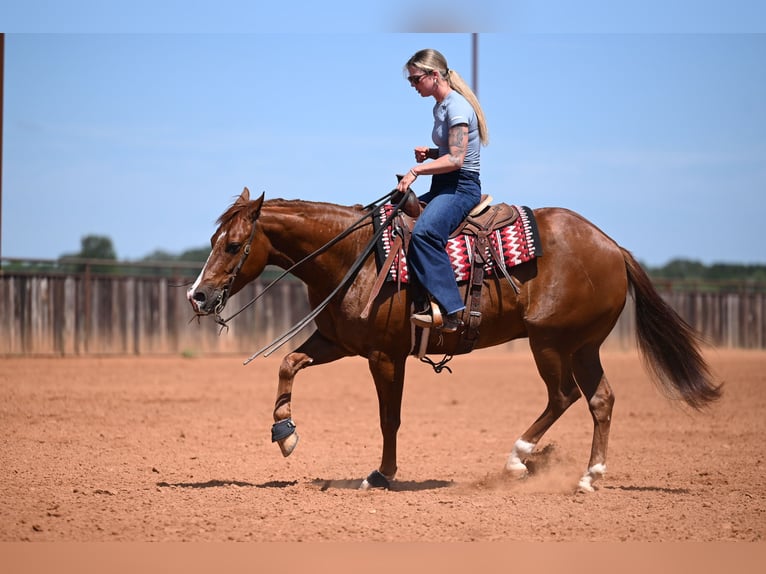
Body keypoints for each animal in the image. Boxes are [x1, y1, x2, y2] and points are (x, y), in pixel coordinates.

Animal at [187, 187, 721, 492]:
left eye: (233, 245)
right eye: (213, 242)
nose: (198, 295)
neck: (356, 255)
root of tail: (612, 246)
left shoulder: (385, 355)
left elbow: (389, 418)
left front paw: (382, 474)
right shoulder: (337, 342)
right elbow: (288, 364)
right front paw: (285, 433)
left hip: (550, 341)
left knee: (563, 395)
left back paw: (518, 460)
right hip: (583, 346)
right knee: (600, 400)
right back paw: (589, 478)